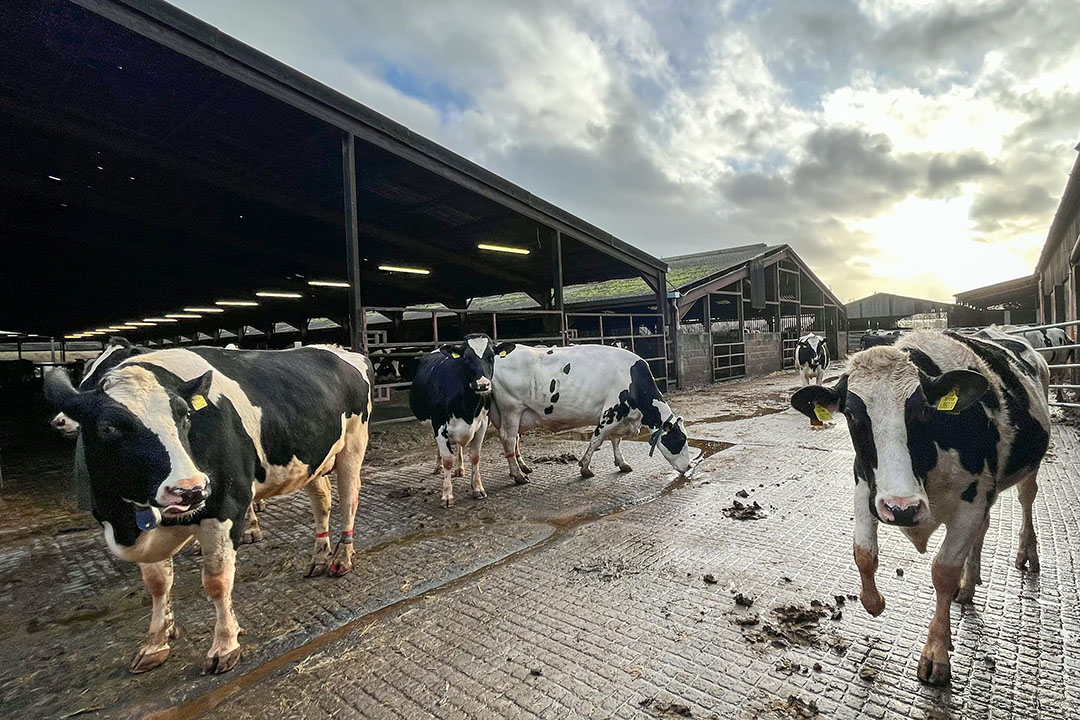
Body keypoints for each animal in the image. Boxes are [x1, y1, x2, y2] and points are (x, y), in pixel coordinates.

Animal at [44, 343, 373, 677]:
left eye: (185, 415)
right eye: (108, 428)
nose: (189, 488)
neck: (126, 524)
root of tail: (339, 350)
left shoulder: (226, 506)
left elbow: (217, 582)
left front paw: (225, 646)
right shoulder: (146, 529)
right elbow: (157, 583)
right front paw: (157, 641)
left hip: (352, 447)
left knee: (348, 501)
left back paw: (342, 558)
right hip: (313, 460)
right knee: (322, 502)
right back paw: (319, 558)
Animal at [410, 336, 498, 509]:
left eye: (491, 356)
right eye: (466, 358)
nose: (482, 384)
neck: (468, 406)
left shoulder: (483, 423)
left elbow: (475, 456)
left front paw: (477, 488)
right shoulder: (438, 424)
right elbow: (447, 460)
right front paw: (447, 496)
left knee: (459, 446)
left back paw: (460, 468)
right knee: (439, 448)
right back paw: (438, 466)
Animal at [790, 330, 1049, 686]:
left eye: (924, 410)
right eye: (852, 415)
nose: (902, 508)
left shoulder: (971, 502)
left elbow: (943, 572)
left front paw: (937, 651)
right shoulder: (866, 487)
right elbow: (863, 554)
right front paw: (875, 603)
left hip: (1028, 470)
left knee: (1026, 500)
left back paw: (1026, 554)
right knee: (984, 529)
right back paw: (969, 585)